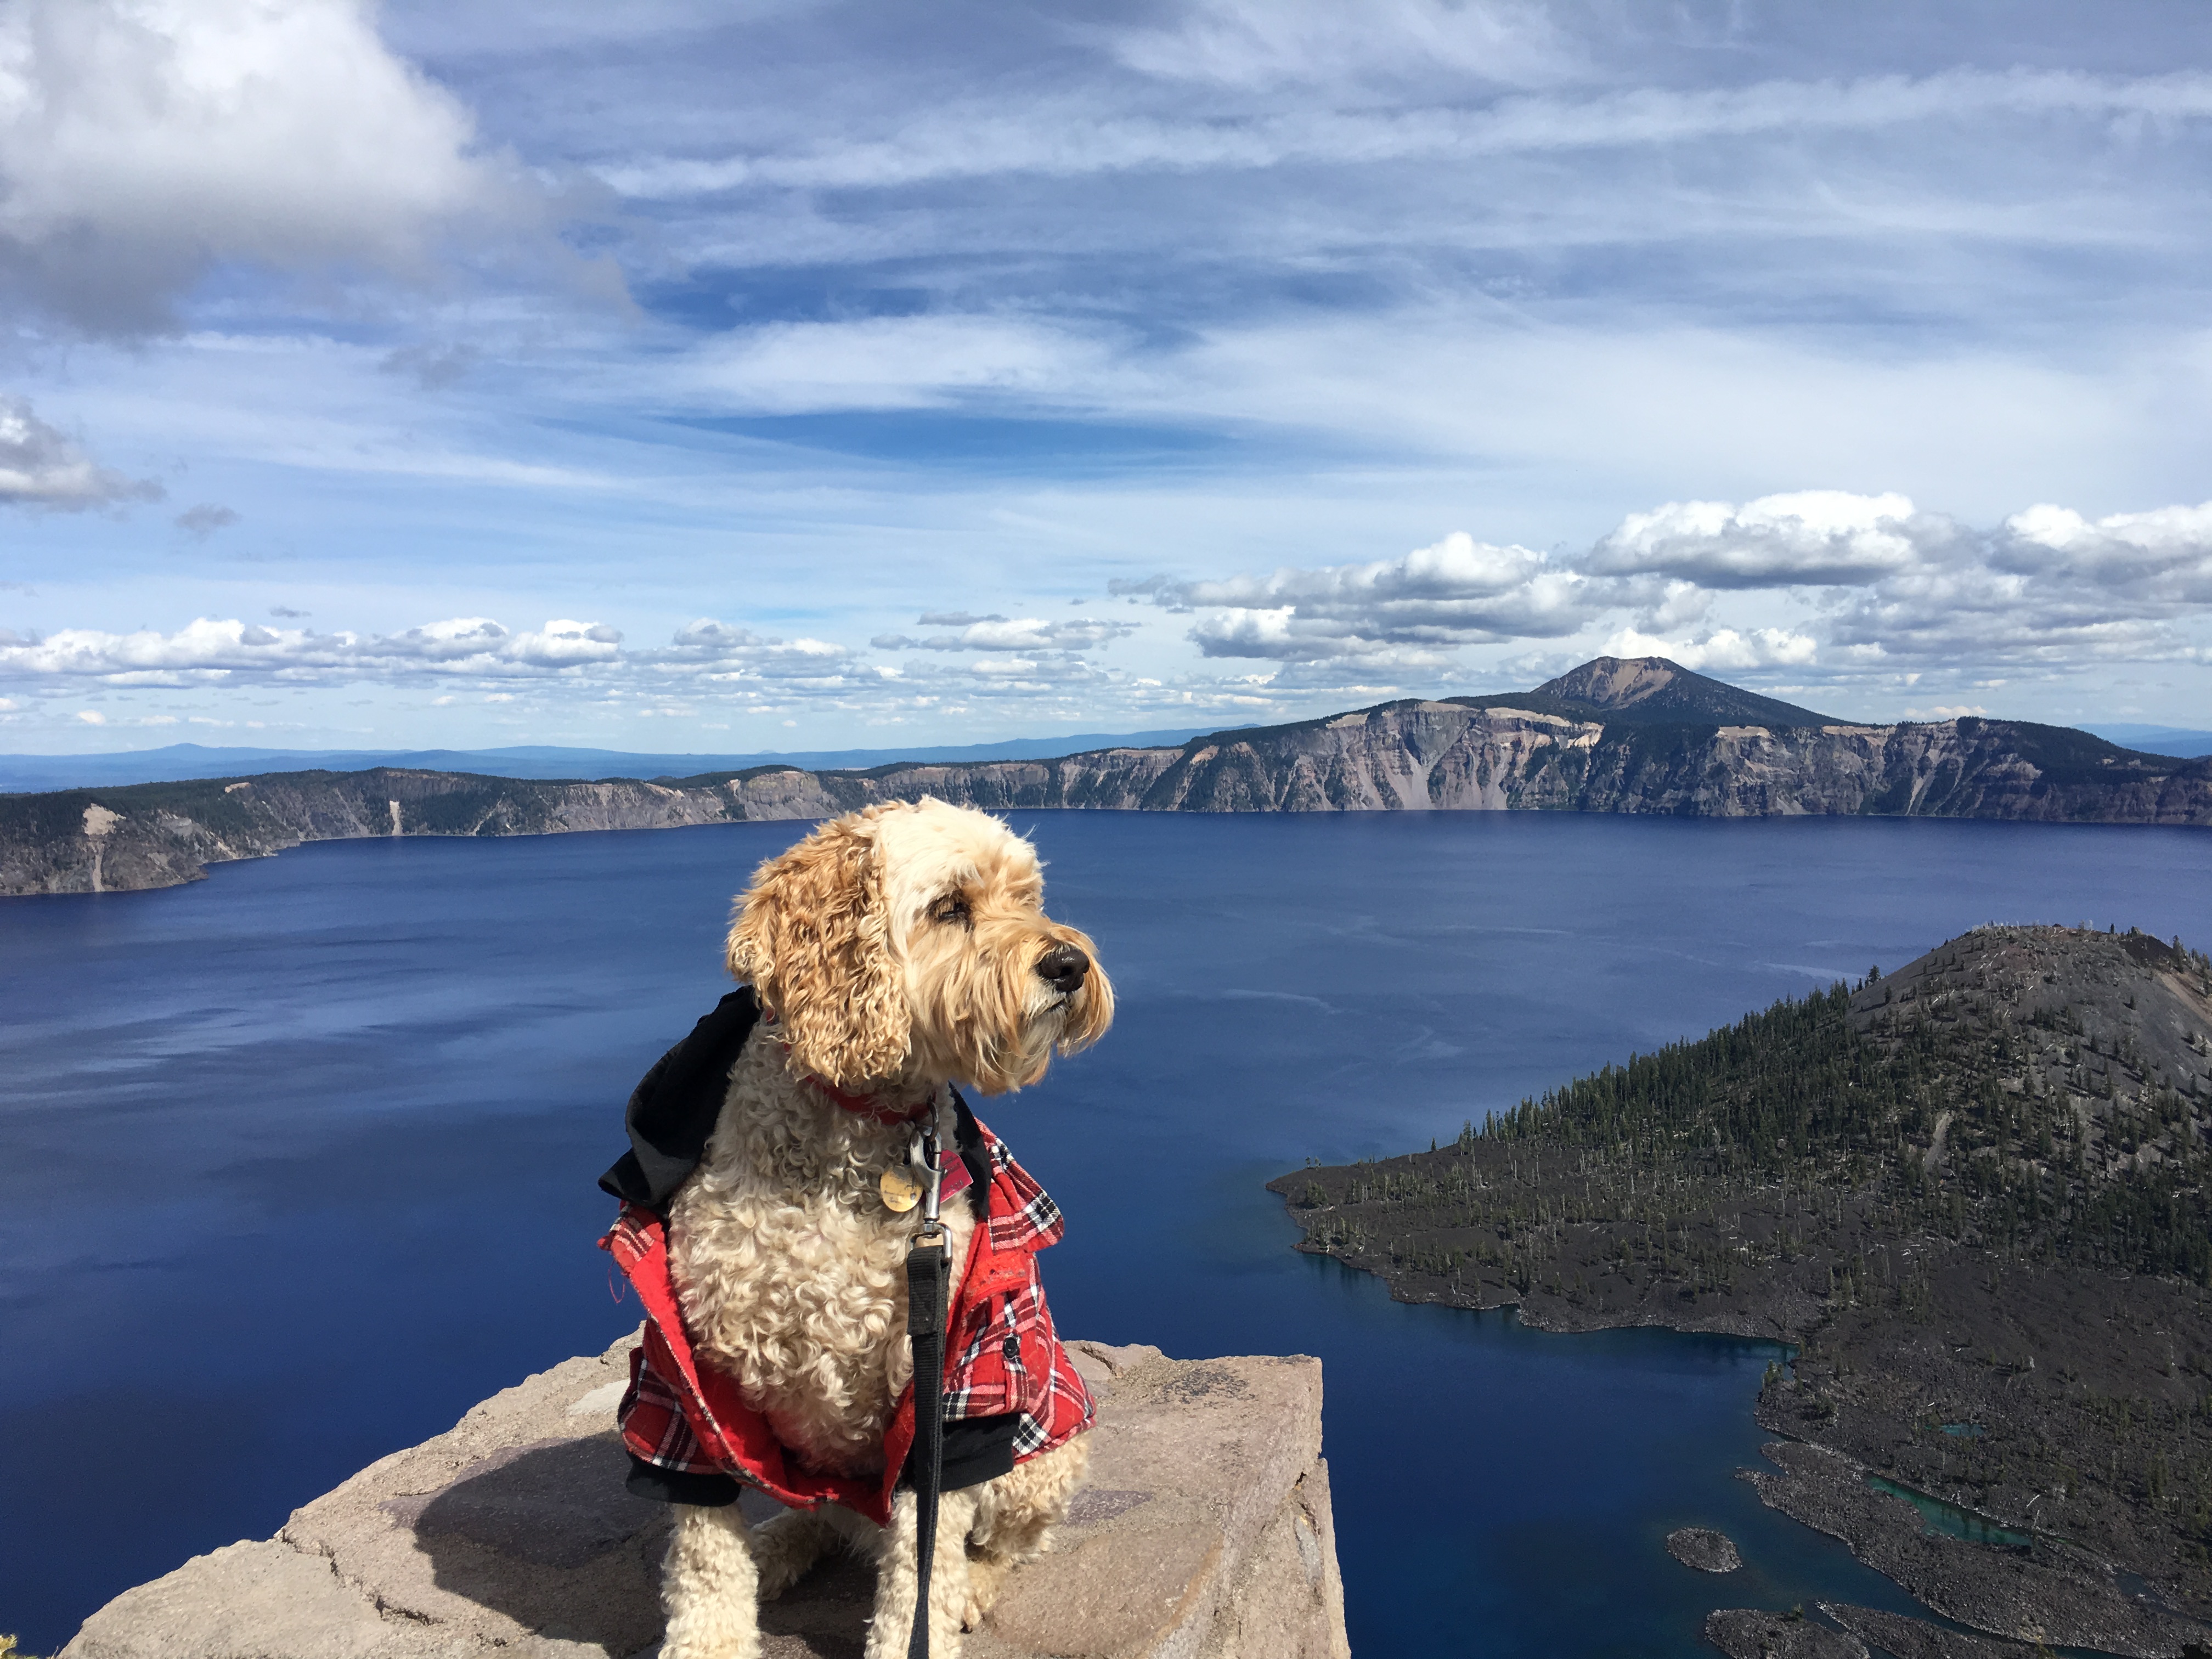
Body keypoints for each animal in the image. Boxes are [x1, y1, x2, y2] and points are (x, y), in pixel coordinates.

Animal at [606, 796, 1115, 1659]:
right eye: (951, 907)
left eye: (1027, 896)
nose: (1070, 965)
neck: (852, 1130)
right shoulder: (684, 1377)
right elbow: (705, 1553)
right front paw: (710, 1638)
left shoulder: (948, 1382)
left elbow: (925, 1563)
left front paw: (924, 1625)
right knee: (831, 1523)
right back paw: (782, 1542)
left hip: (1039, 1455)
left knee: (999, 1546)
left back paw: (973, 1588)